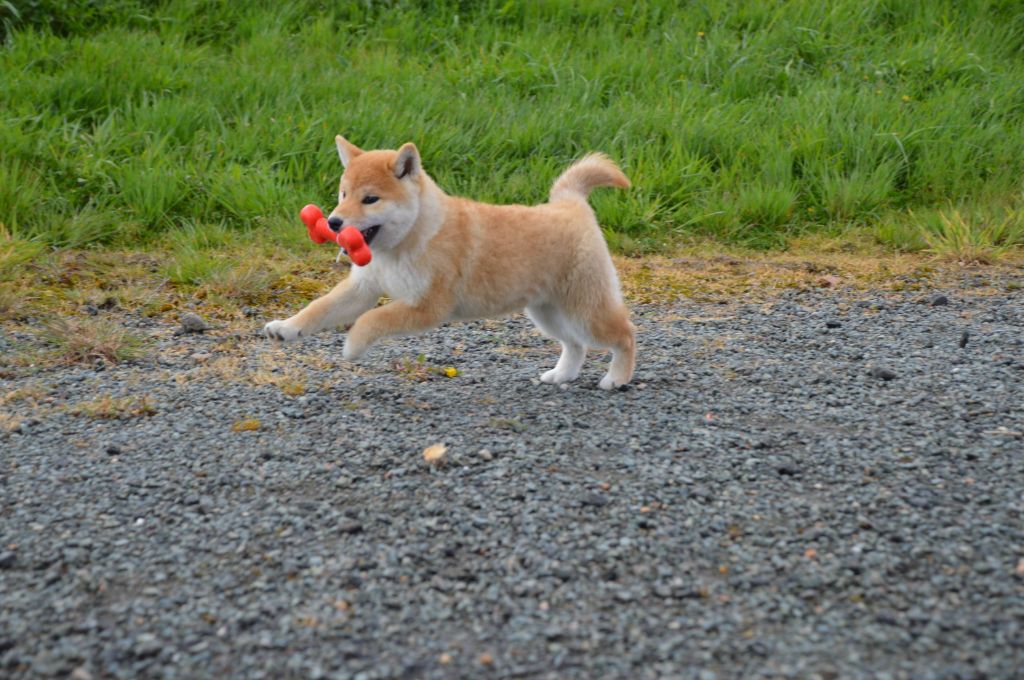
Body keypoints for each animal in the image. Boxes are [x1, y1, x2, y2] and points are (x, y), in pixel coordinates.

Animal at [264, 136, 630, 391]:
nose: (334, 222)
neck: (409, 241)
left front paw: (353, 346)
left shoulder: (428, 306)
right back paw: (561, 374)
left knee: (625, 333)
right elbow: (319, 308)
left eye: (370, 199)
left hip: (584, 309)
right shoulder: (362, 288)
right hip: (547, 312)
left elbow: (373, 319)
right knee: (575, 344)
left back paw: (618, 378)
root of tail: (570, 204)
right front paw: (286, 328)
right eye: (343, 194)